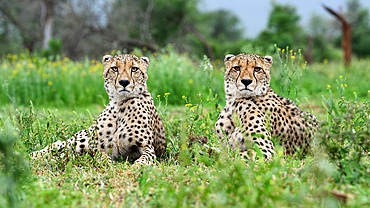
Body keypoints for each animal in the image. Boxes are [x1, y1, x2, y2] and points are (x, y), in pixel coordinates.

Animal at [31, 54, 167, 165]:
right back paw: (33, 155)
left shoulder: (147, 148)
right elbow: (100, 155)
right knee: (57, 146)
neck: (119, 104)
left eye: (134, 69)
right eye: (114, 68)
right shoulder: (97, 147)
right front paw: (107, 163)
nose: (124, 82)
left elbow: (145, 159)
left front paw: (137, 167)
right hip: (80, 141)